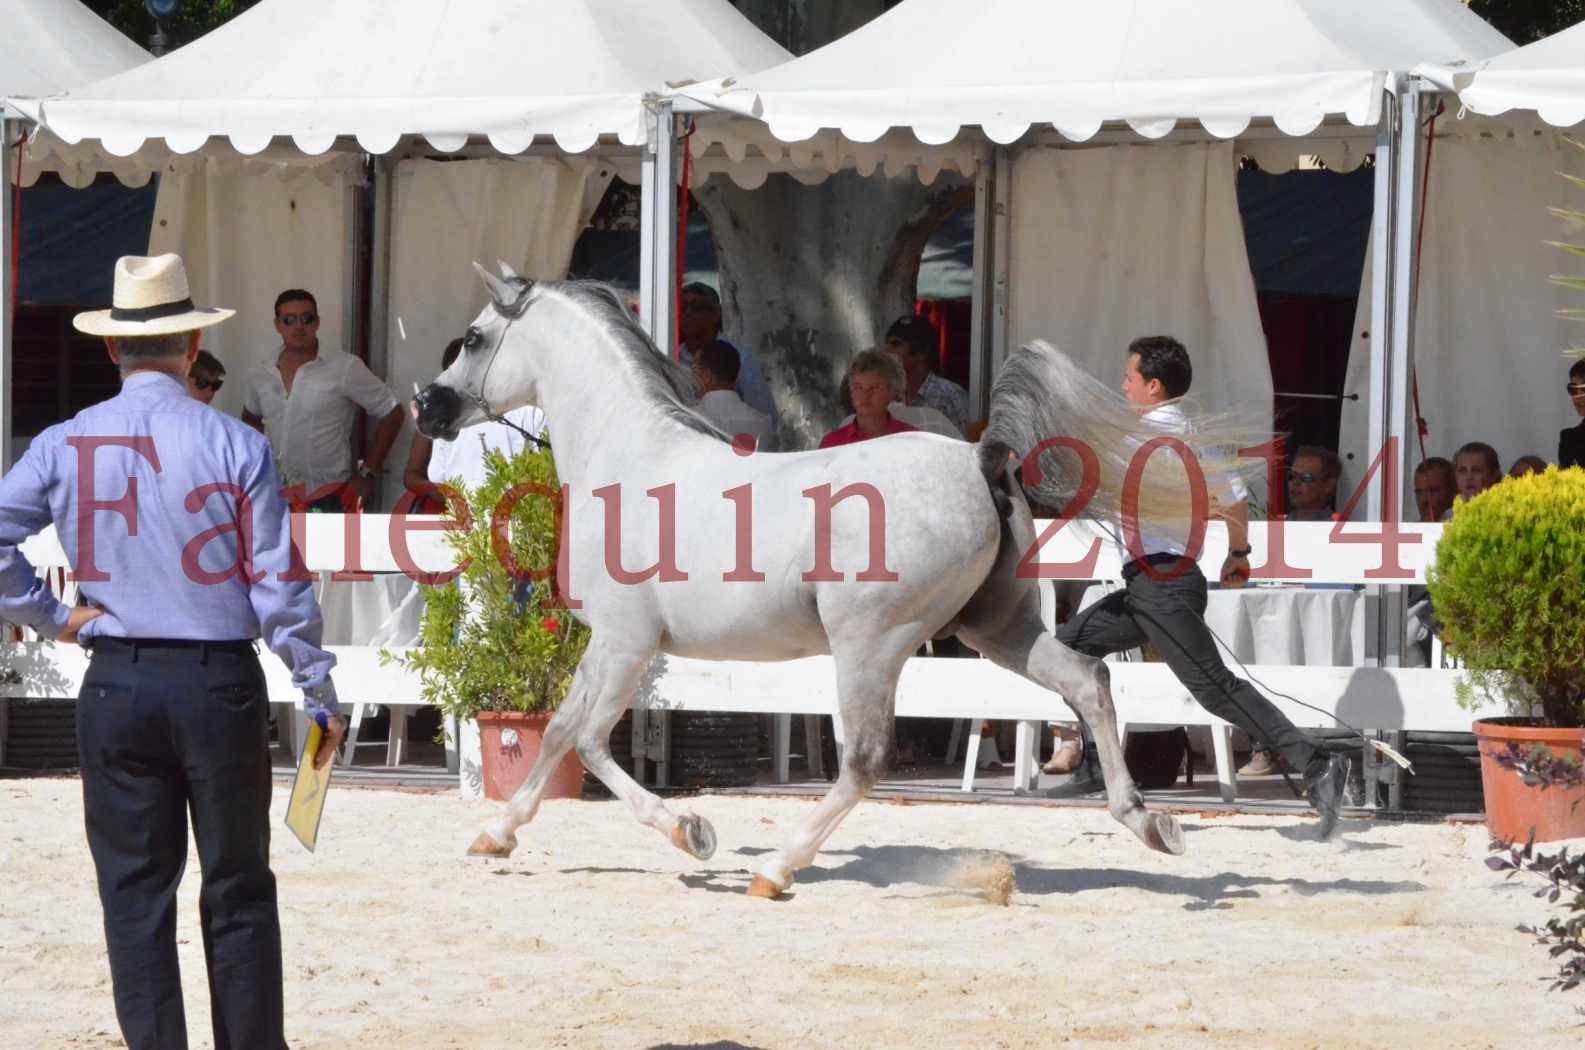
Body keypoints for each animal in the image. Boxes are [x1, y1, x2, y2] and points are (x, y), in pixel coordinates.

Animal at [415, 268, 1242, 900]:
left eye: (475, 338)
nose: (429, 407)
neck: (629, 457)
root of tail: (980, 459)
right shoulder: (611, 645)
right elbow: (556, 730)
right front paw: (494, 835)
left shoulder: (625, 641)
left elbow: (587, 741)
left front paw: (693, 832)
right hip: (994, 627)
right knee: (1088, 682)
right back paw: (1149, 823)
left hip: (870, 644)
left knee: (866, 759)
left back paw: (778, 870)